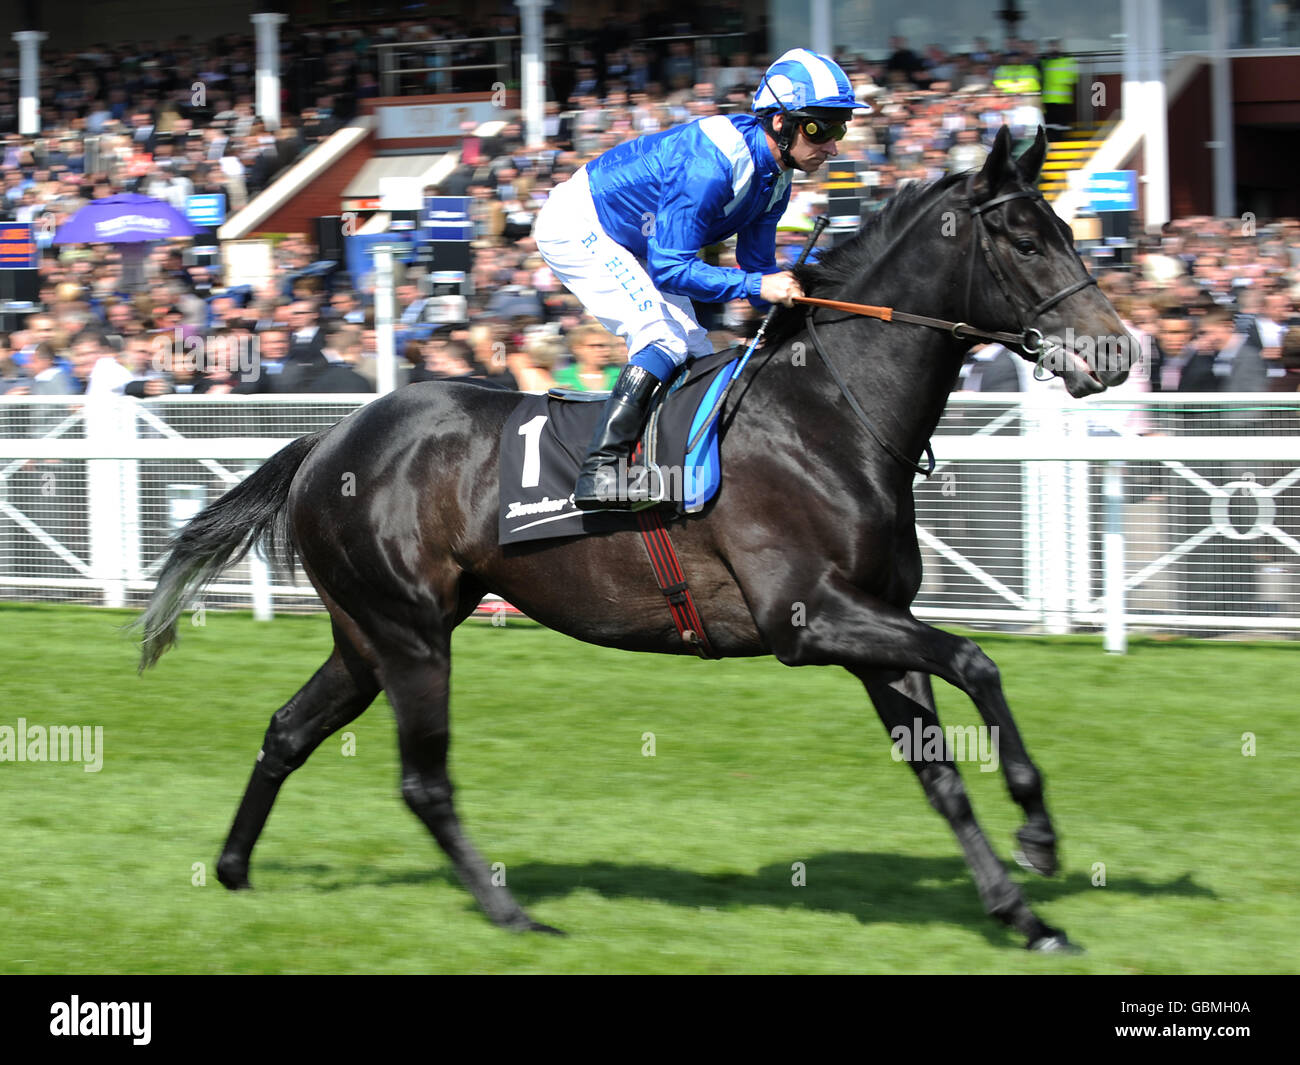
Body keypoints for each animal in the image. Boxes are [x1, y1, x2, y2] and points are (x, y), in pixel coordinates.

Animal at [134, 129, 1128, 951]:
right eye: (1027, 240)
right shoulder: (808, 618)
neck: (829, 414)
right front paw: (1039, 831)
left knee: (288, 730)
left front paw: (1023, 915)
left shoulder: (873, 620)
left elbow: (939, 769)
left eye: (1070, 229)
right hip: (408, 634)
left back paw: (234, 868)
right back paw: (513, 914)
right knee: (423, 781)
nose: (1117, 350)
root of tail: (328, 442)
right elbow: (977, 661)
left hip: (368, 635)